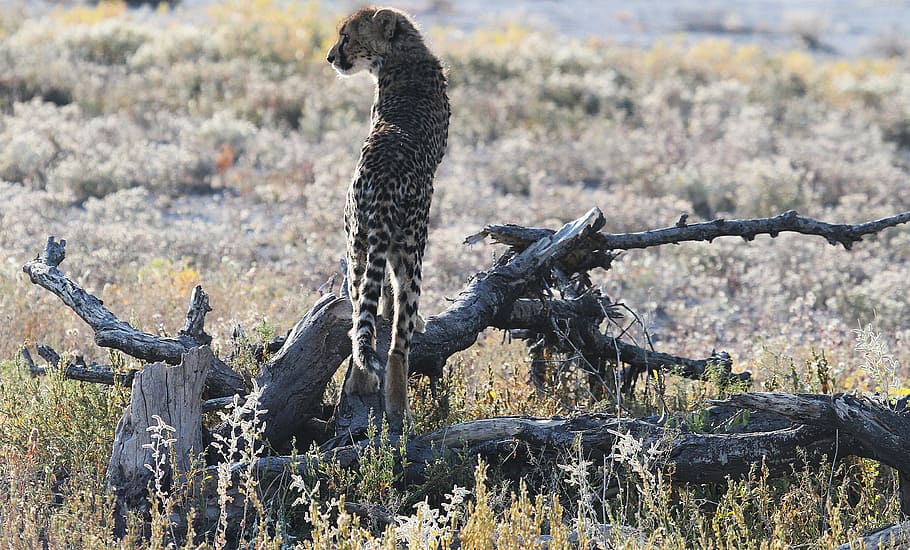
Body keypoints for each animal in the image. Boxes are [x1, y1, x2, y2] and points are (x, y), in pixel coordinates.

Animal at [327, 6, 450, 430]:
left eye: (347, 36)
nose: (331, 57)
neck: (402, 52)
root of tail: (380, 184)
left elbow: (375, 297)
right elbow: (393, 302)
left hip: (356, 244)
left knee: (357, 315)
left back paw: (361, 381)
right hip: (414, 248)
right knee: (399, 342)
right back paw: (399, 408)